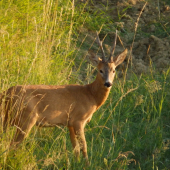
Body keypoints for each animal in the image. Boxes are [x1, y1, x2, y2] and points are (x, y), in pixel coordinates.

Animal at [0, 31, 127, 163]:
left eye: (113, 70)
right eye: (100, 70)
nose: (108, 83)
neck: (91, 96)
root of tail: (5, 93)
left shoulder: (70, 123)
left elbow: (75, 148)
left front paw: (76, 163)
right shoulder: (78, 120)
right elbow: (84, 147)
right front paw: (87, 164)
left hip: (8, 118)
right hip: (26, 118)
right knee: (13, 144)